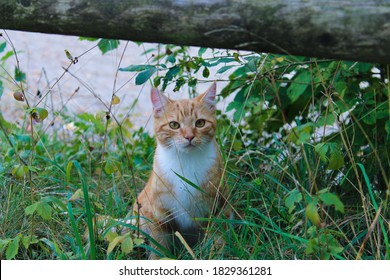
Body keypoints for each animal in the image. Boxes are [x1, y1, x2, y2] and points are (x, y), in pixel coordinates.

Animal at [133, 82, 227, 260]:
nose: (189, 137)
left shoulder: (217, 206)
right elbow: (159, 248)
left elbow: (217, 238)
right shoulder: (158, 215)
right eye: (174, 125)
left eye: (200, 123)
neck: (186, 162)